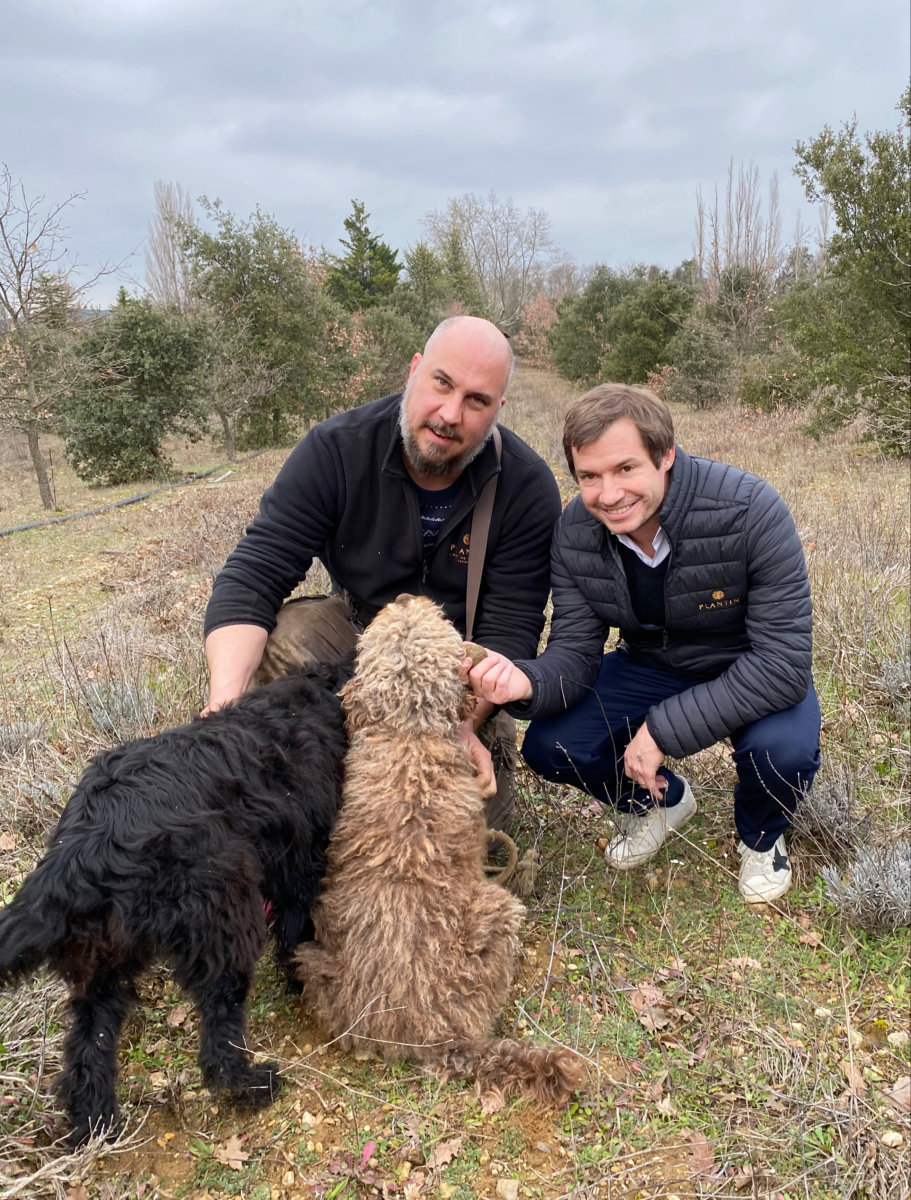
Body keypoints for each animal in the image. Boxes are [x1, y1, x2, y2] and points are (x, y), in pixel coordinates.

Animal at [0, 667, 348, 1142]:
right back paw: (252, 1084)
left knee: (88, 1046)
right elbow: (297, 932)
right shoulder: (302, 864)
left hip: (102, 963)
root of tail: (87, 845)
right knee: (218, 1039)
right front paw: (304, 979)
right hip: (222, 922)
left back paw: (95, 1121)